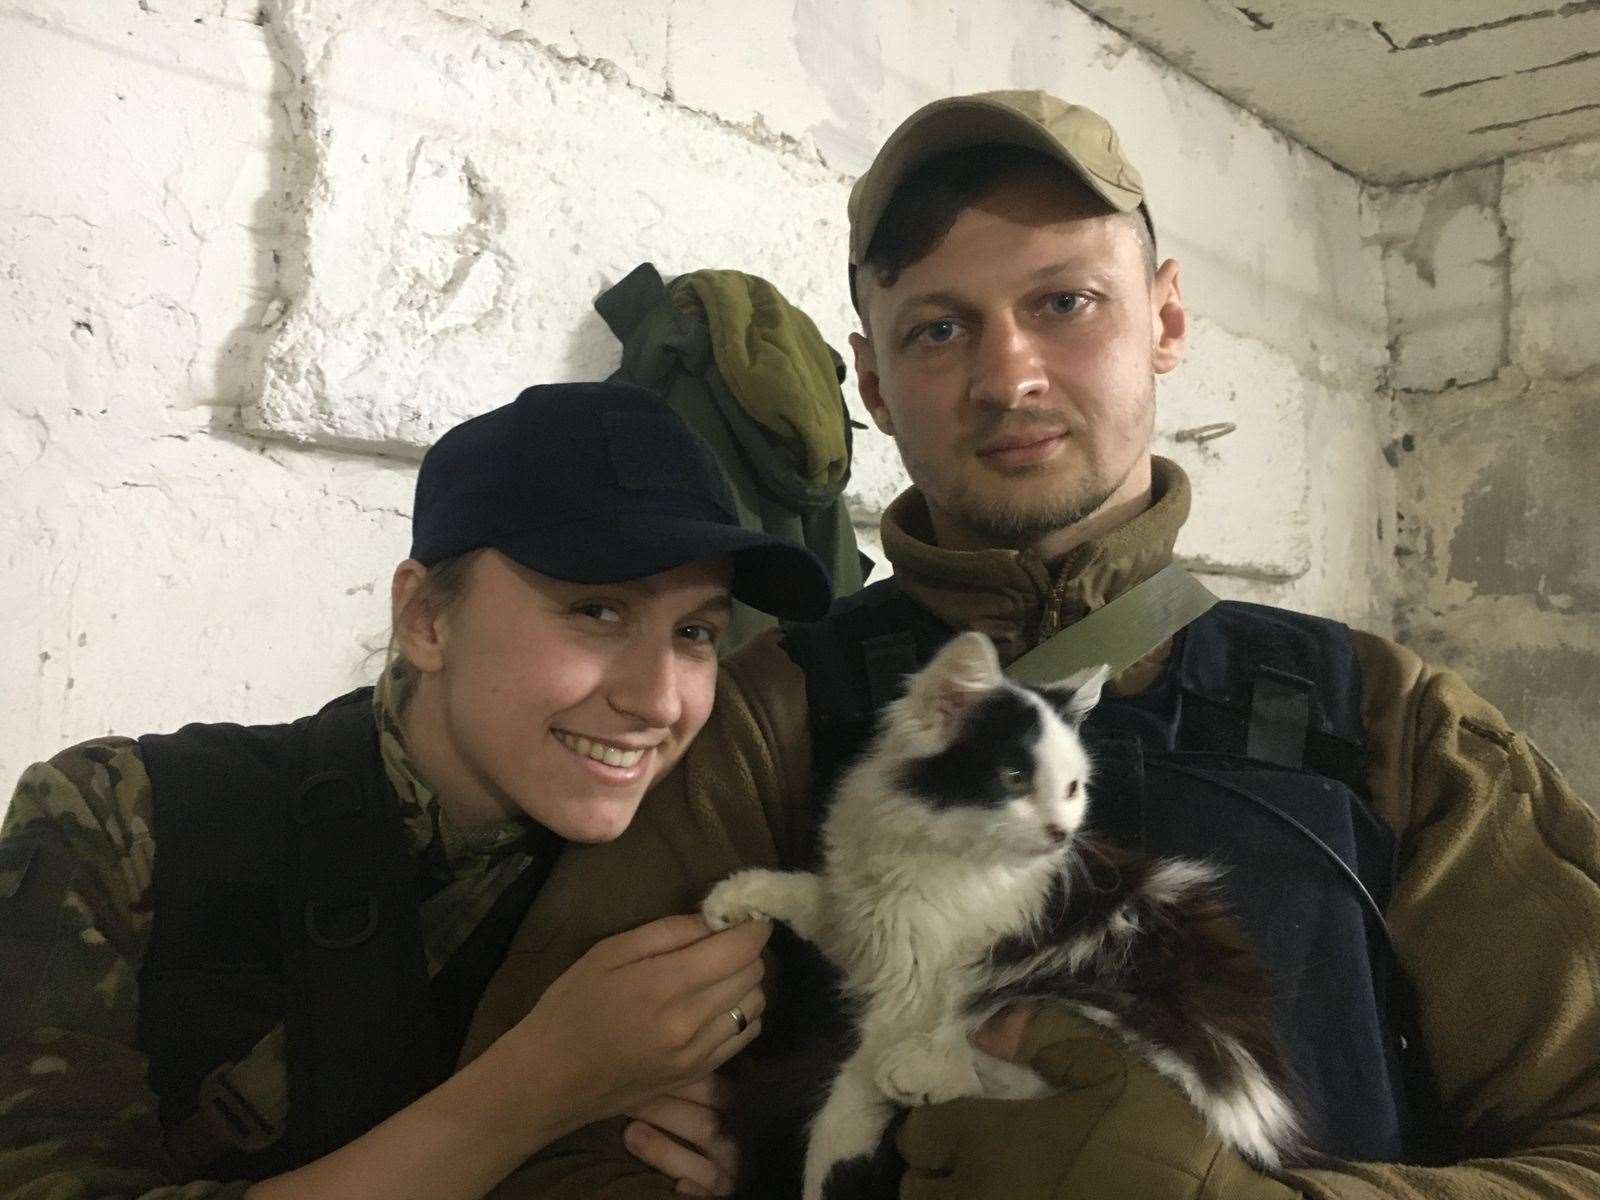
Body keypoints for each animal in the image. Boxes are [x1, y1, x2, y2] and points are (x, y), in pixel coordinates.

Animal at [707, 633, 1305, 1196]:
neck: (936, 847)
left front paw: (824, 1170)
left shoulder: (916, 989)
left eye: (1072, 788)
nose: (1061, 833)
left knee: (1023, 1083)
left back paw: (919, 1070)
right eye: (1015, 778)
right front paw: (732, 899)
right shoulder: (864, 926)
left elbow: (847, 1097)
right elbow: (809, 894)